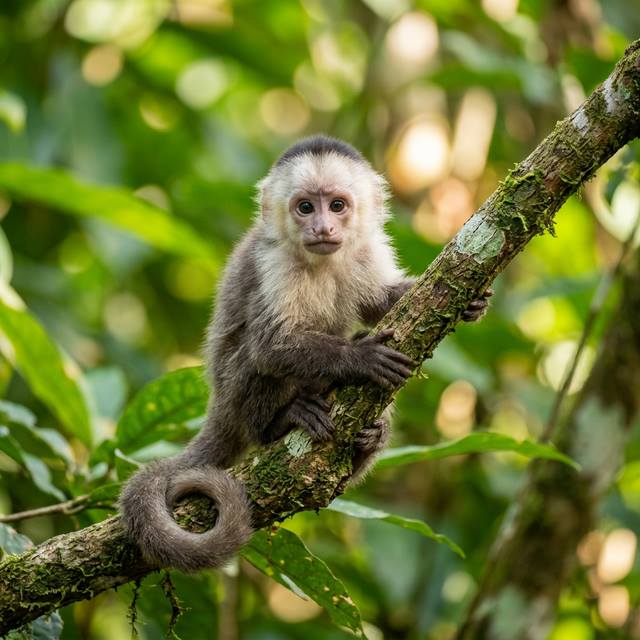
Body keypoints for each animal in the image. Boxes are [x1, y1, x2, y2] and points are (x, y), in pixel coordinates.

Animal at [119, 135, 490, 573]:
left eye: (337, 206)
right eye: (305, 207)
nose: (322, 227)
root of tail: (219, 407)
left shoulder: (367, 251)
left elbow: (379, 303)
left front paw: (468, 304)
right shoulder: (274, 263)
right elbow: (270, 345)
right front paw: (359, 357)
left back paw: (368, 439)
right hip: (233, 396)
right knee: (253, 362)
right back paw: (280, 421)